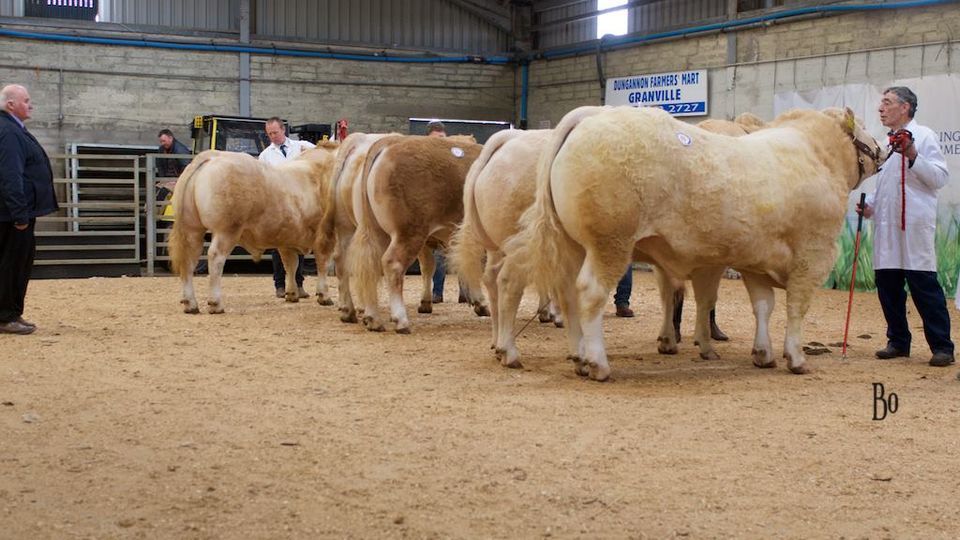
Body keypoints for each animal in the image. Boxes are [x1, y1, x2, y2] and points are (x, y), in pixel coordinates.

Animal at [167, 142, 340, 312]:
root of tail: (212, 156)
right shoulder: (325, 237)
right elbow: (323, 263)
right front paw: (324, 296)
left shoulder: (287, 238)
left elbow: (291, 264)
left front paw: (292, 294)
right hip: (227, 230)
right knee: (216, 257)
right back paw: (215, 303)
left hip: (192, 229)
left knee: (189, 260)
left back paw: (190, 303)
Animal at [346, 135, 488, 334]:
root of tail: (389, 142)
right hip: (409, 232)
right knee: (392, 264)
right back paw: (401, 320)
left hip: (375, 231)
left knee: (370, 266)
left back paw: (373, 319)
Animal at [502, 105, 884, 382]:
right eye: (864, 127)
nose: (882, 148)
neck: (817, 156)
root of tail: (589, 115)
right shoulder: (812, 254)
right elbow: (796, 308)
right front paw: (796, 357)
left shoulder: (756, 262)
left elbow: (763, 306)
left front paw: (763, 353)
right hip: (609, 243)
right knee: (590, 293)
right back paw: (597, 363)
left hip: (571, 245)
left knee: (566, 294)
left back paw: (578, 358)